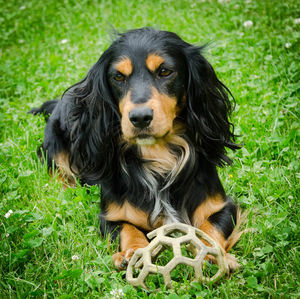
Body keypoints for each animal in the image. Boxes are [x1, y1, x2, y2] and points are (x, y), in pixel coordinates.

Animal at [29, 28, 241, 272]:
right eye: (118, 77)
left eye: (165, 71)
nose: (140, 118)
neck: (158, 155)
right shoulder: (111, 216)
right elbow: (127, 229)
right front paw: (133, 253)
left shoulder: (221, 206)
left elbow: (210, 228)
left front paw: (212, 254)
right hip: (55, 146)